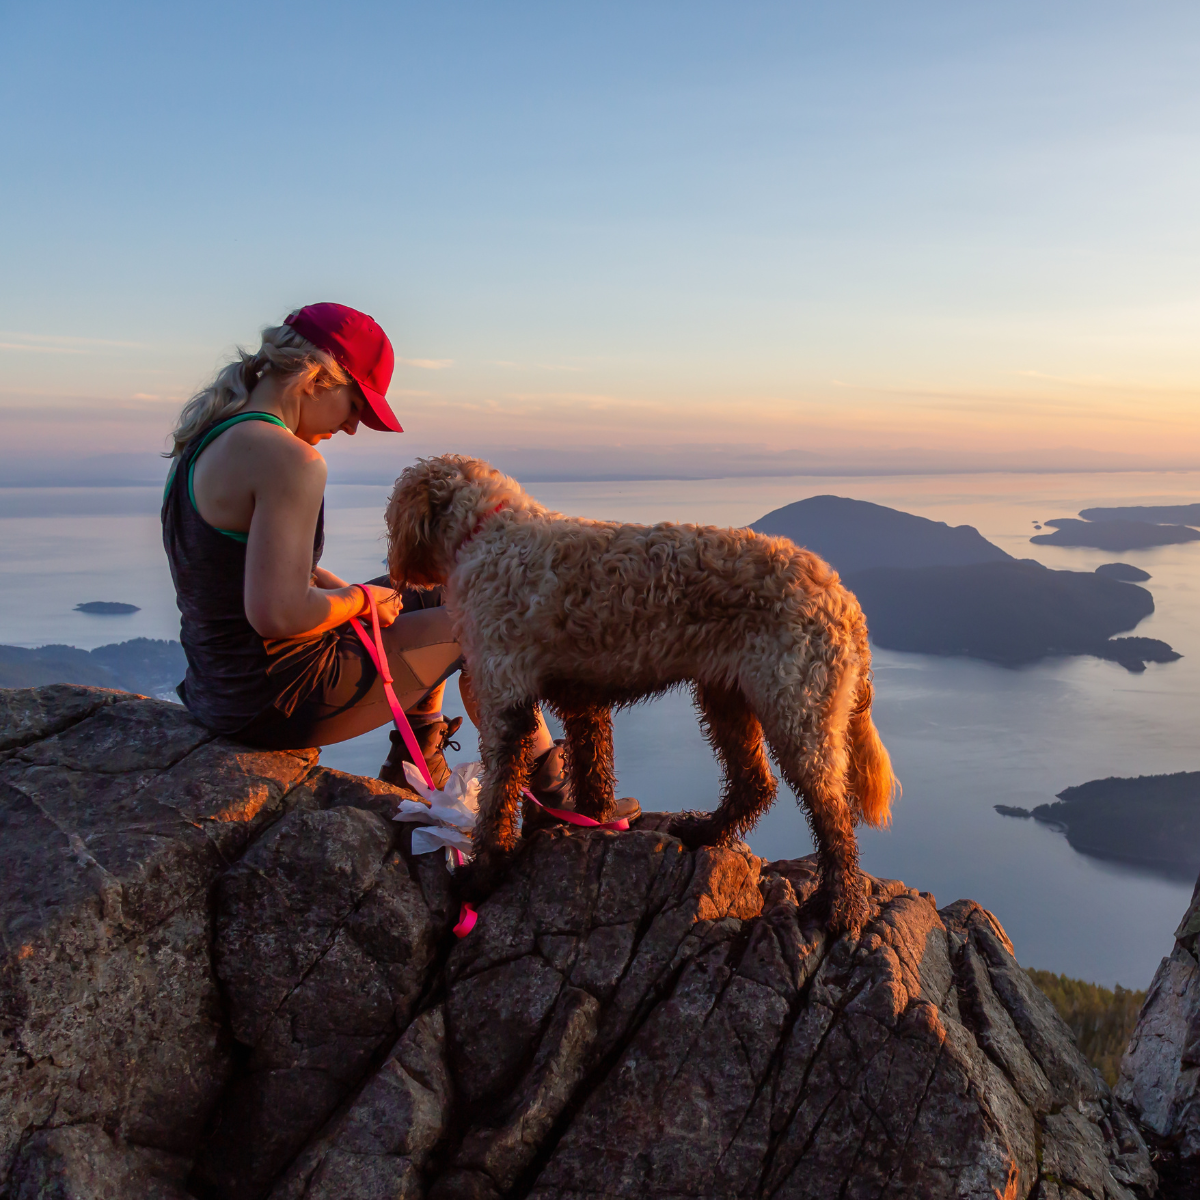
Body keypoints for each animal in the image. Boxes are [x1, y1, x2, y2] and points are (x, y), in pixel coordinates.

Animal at [384, 453, 892, 931]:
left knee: (832, 811)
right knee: (755, 783)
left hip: (797, 709)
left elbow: (497, 796)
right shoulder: (581, 701)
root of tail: (844, 599)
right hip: (727, 695)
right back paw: (707, 832)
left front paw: (483, 873)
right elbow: (591, 768)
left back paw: (841, 904)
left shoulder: (505, 697)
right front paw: (594, 824)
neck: (489, 532)